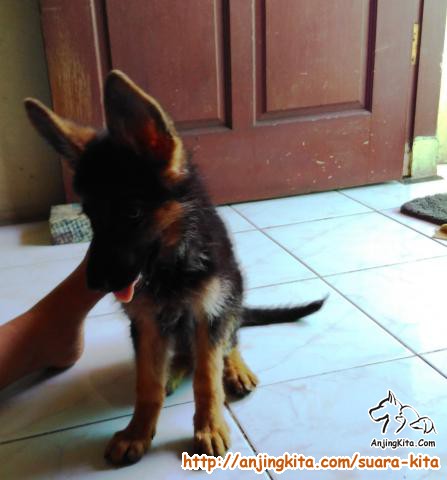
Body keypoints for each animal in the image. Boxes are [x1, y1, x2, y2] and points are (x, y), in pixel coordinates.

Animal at [25, 70, 325, 465]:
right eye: (89, 216)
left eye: (132, 212)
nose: (93, 284)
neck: (171, 266)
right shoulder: (146, 324)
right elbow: (147, 383)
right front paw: (137, 431)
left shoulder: (209, 314)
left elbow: (207, 380)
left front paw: (209, 426)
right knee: (183, 355)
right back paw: (174, 369)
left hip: (233, 295)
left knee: (230, 339)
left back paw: (235, 368)